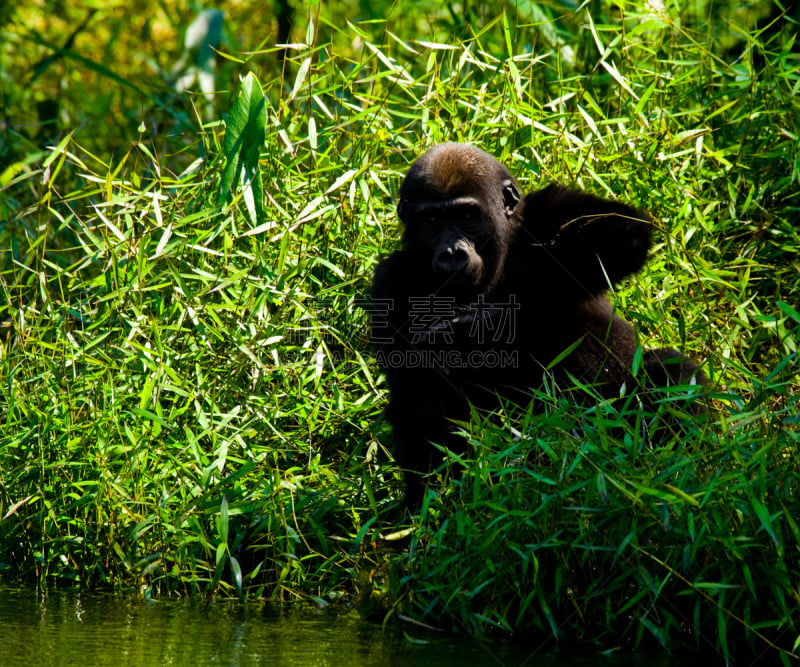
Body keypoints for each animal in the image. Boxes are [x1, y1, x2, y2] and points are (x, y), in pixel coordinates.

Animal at [368, 142, 700, 506]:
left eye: (467, 217)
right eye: (431, 221)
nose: (452, 253)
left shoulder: (546, 208)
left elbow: (622, 232)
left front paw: (478, 325)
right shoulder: (388, 281)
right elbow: (413, 383)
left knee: (669, 373)